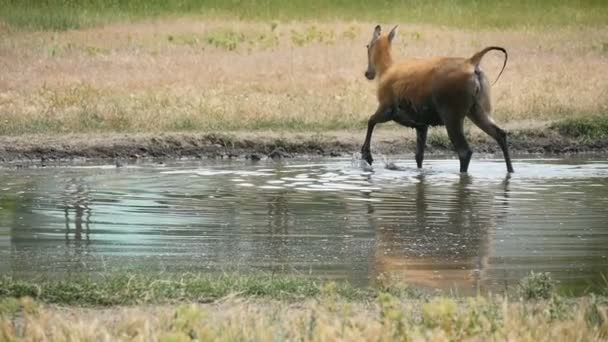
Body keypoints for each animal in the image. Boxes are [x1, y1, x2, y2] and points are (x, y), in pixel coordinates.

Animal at [360, 25, 512, 174]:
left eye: (367, 45)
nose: (368, 73)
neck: (385, 69)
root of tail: (473, 62)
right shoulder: (421, 124)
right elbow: (419, 156)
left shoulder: (388, 107)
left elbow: (370, 120)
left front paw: (366, 155)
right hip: (477, 109)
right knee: (500, 134)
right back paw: (510, 170)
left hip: (452, 113)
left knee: (464, 151)